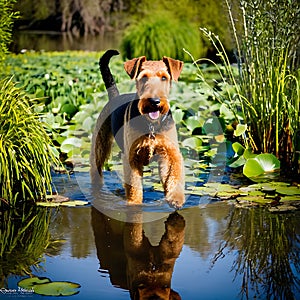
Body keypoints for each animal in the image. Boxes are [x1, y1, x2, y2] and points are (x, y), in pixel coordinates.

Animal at [91, 49, 185, 209]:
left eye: (164, 77)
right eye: (143, 77)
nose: (155, 101)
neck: (152, 125)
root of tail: (114, 96)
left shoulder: (169, 153)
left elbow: (174, 174)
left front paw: (176, 198)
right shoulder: (132, 157)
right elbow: (134, 187)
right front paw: (134, 204)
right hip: (100, 145)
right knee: (95, 168)